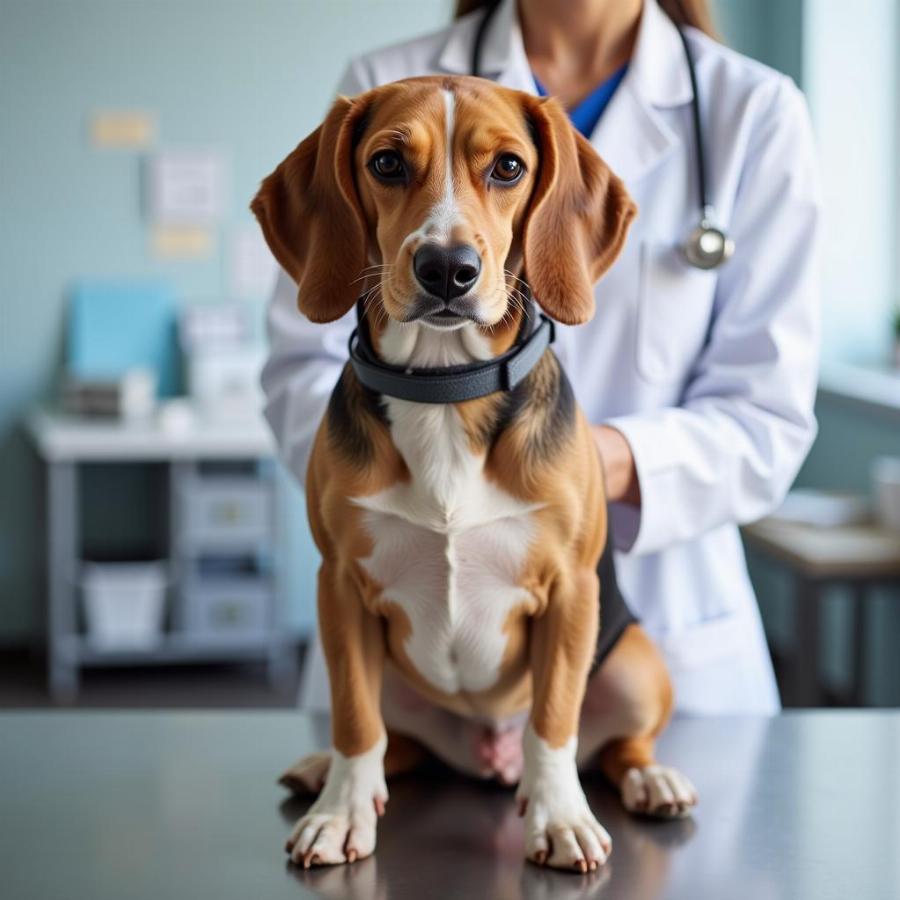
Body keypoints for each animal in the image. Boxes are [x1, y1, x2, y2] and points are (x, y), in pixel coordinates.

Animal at [250, 74, 700, 876]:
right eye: (388, 162)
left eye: (509, 168)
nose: (447, 269)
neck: (445, 386)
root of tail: (484, 757)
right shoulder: (340, 586)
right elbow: (356, 721)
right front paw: (340, 814)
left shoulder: (571, 592)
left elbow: (554, 721)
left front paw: (560, 819)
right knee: (392, 744)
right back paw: (325, 773)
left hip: (635, 662)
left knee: (614, 746)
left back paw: (651, 778)